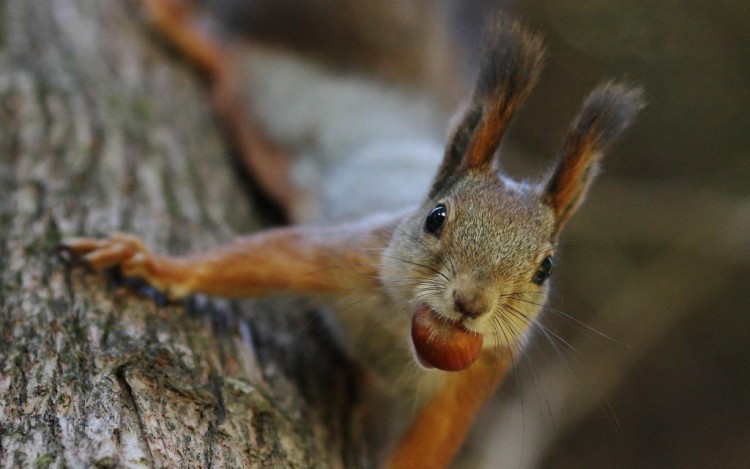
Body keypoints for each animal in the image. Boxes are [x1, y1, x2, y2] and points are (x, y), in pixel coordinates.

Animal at [61, 0, 648, 464]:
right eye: (436, 217)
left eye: (545, 268)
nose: (471, 303)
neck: (402, 332)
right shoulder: (355, 253)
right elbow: (268, 256)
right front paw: (153, 265)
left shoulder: (480, 376)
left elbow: (430, 446)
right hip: (274, 112)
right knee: (233, 62)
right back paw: (180, 26)